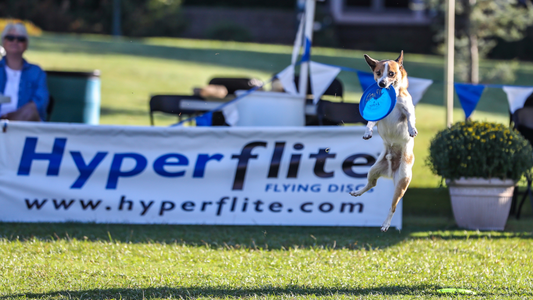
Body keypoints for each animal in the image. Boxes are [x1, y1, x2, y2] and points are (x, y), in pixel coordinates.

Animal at [352, 51, 418, 232]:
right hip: (373, 169)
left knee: (393, 206)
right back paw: (358, 192)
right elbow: (370, 122)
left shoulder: (407, 109)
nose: (381, 83)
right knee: (372, 184)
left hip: (402, 183)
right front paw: (367, 132)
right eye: (378, 73)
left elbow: (410, 118)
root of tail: (391, 171)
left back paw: (386, 224)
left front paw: (411, 129)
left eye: (391, 74)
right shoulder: (376, 116)